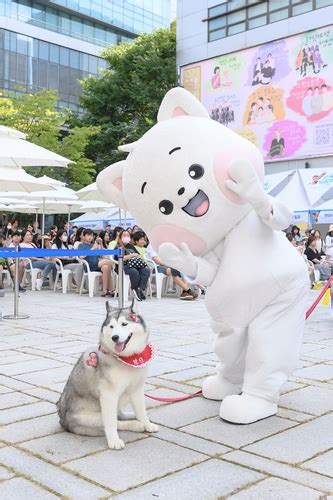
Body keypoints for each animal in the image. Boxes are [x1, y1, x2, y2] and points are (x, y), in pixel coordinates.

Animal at [57, 300, 158, 450]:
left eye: (124, 324)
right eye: (111, 326)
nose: (114, 337)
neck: (127, 358)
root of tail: (63, 423)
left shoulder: (137, 389)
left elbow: (141, 411)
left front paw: (147, 424)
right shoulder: (109, 395)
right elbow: (111, 423)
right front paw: (114, 441)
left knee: (119, 415)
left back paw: (132, 417)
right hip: (90, 417)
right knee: (114, 422)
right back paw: (135, 425)